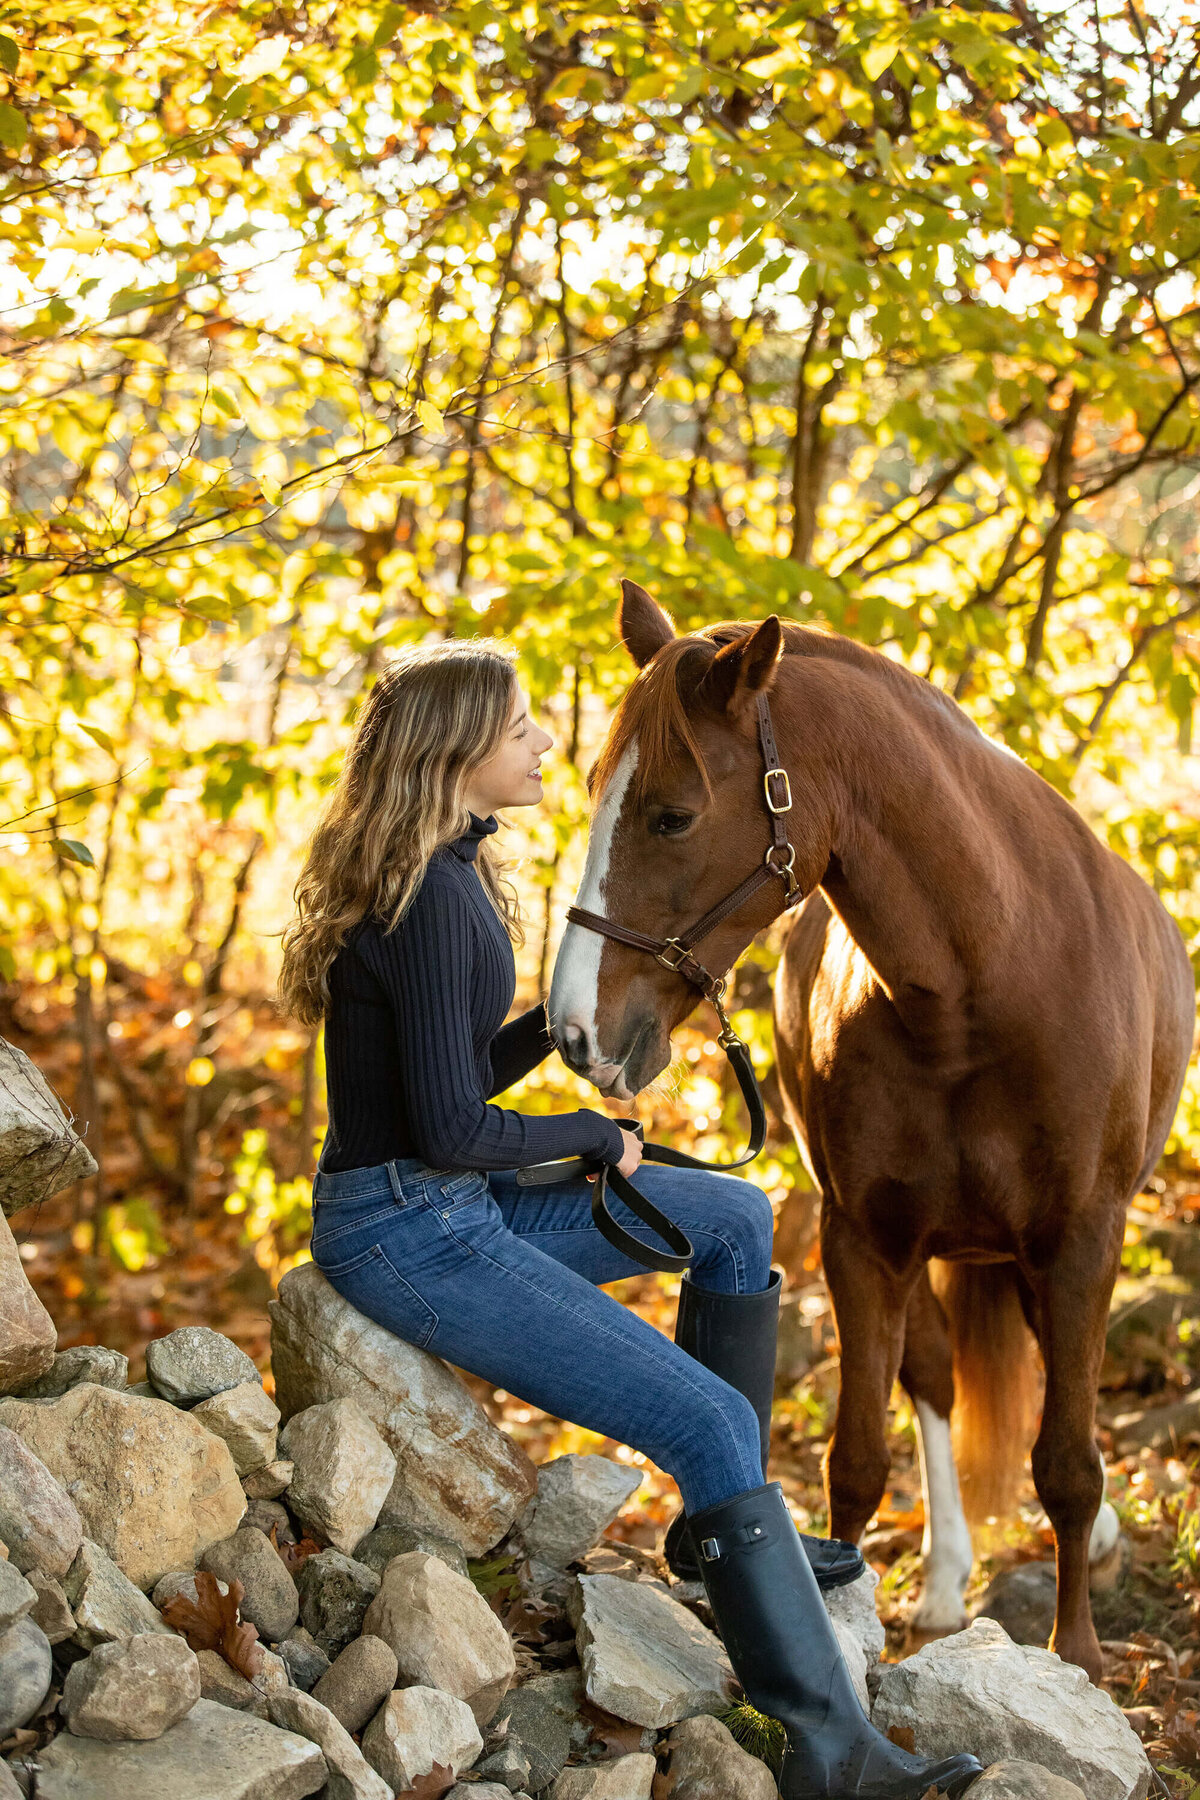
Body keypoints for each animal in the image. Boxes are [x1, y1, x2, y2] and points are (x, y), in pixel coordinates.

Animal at [550, 583, 1194, 1677]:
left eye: (674, 815)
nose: (572, 1029)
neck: (981, 987)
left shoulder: (1079, 1238)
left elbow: (1067, 1460)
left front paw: (1075, 1655)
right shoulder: (862, 1240)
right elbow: (856, 1456)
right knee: (933, 1376)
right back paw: (942, 1583)